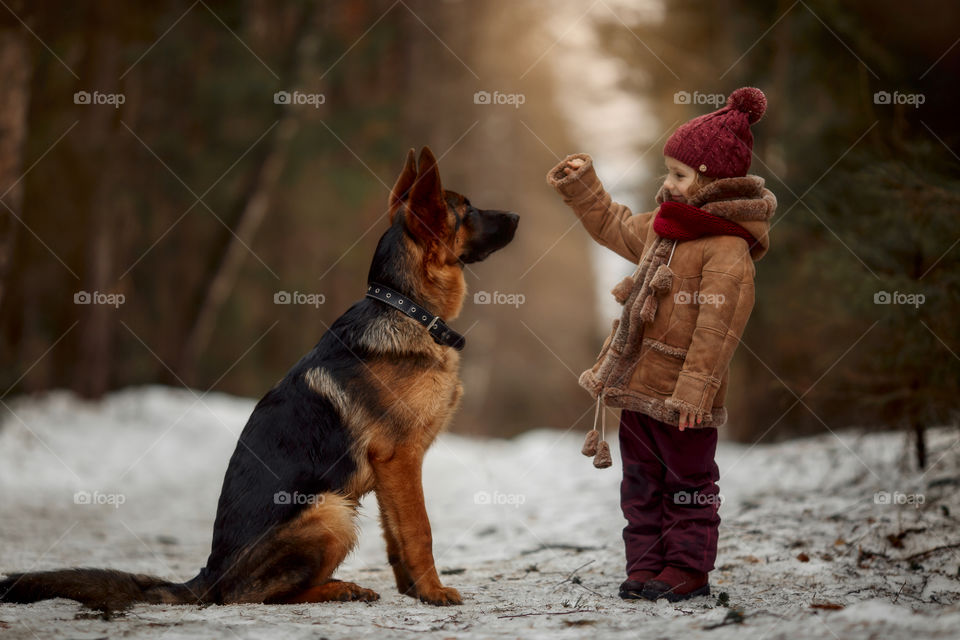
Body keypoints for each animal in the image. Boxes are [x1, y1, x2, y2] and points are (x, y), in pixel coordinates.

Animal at [1, 145, 516, 608]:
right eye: (468, 210)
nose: (516, 215)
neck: (406, 308)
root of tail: (207, 575)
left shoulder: (394, 474)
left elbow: (396, 536)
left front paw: (412, 591)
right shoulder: (401, 459)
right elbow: (421, 530)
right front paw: (433, 592)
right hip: (329, 510)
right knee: (250, 596)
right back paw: (336, 589)